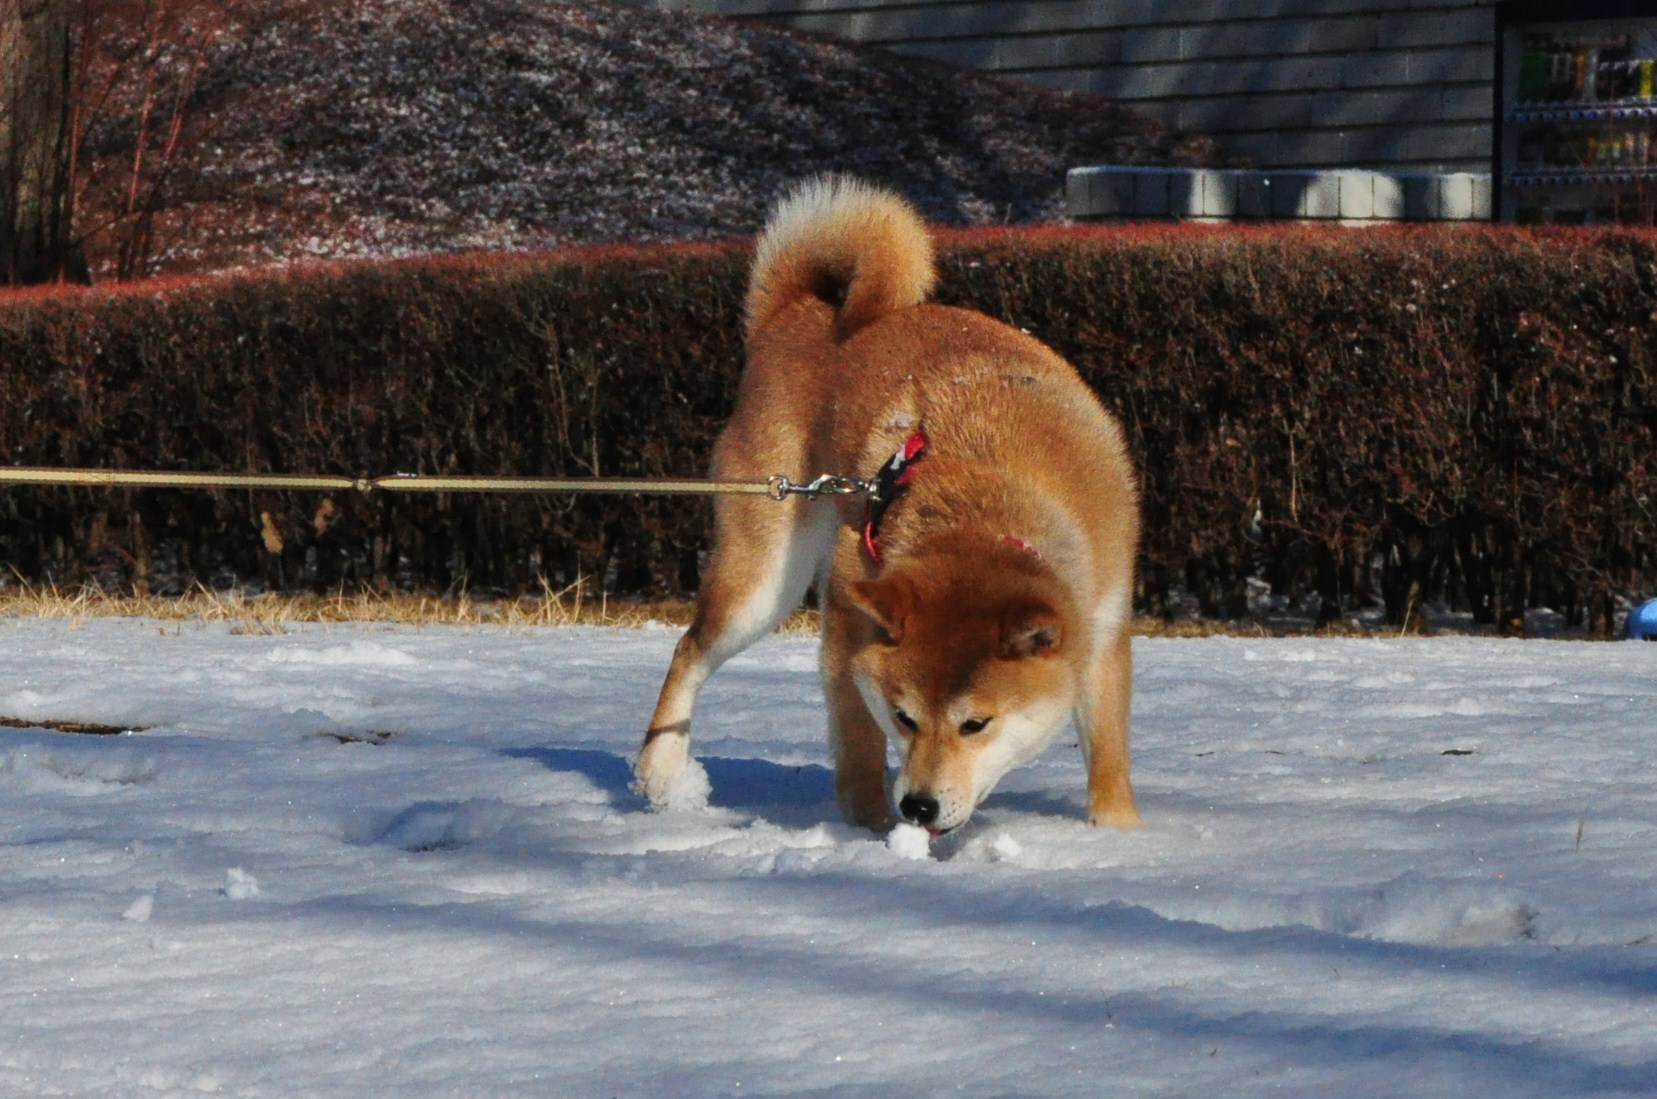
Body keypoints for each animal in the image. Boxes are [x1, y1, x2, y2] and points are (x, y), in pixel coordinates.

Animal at [629, 178, 1140, 835]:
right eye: (904, 716)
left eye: (976, 724)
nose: (918, 806)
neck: (987, 501)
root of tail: (793, 314)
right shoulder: (851, 625)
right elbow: (859, 747)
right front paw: (870, 833)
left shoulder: (1100, 625)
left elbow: (1107, 749)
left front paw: (1120, 836)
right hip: (764, 580)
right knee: (690, 649)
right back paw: (663, 772)